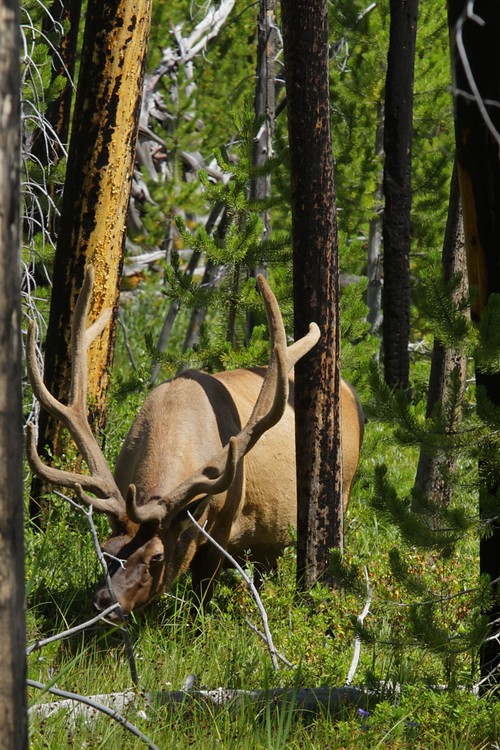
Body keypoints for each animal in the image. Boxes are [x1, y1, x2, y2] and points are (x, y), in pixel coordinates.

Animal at [26, 266, 364, 620]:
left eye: (156, 556)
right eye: (106, 551)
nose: (106, 604)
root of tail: (351, 392)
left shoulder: (224, 523)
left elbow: (202, 595)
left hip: (342, 494)